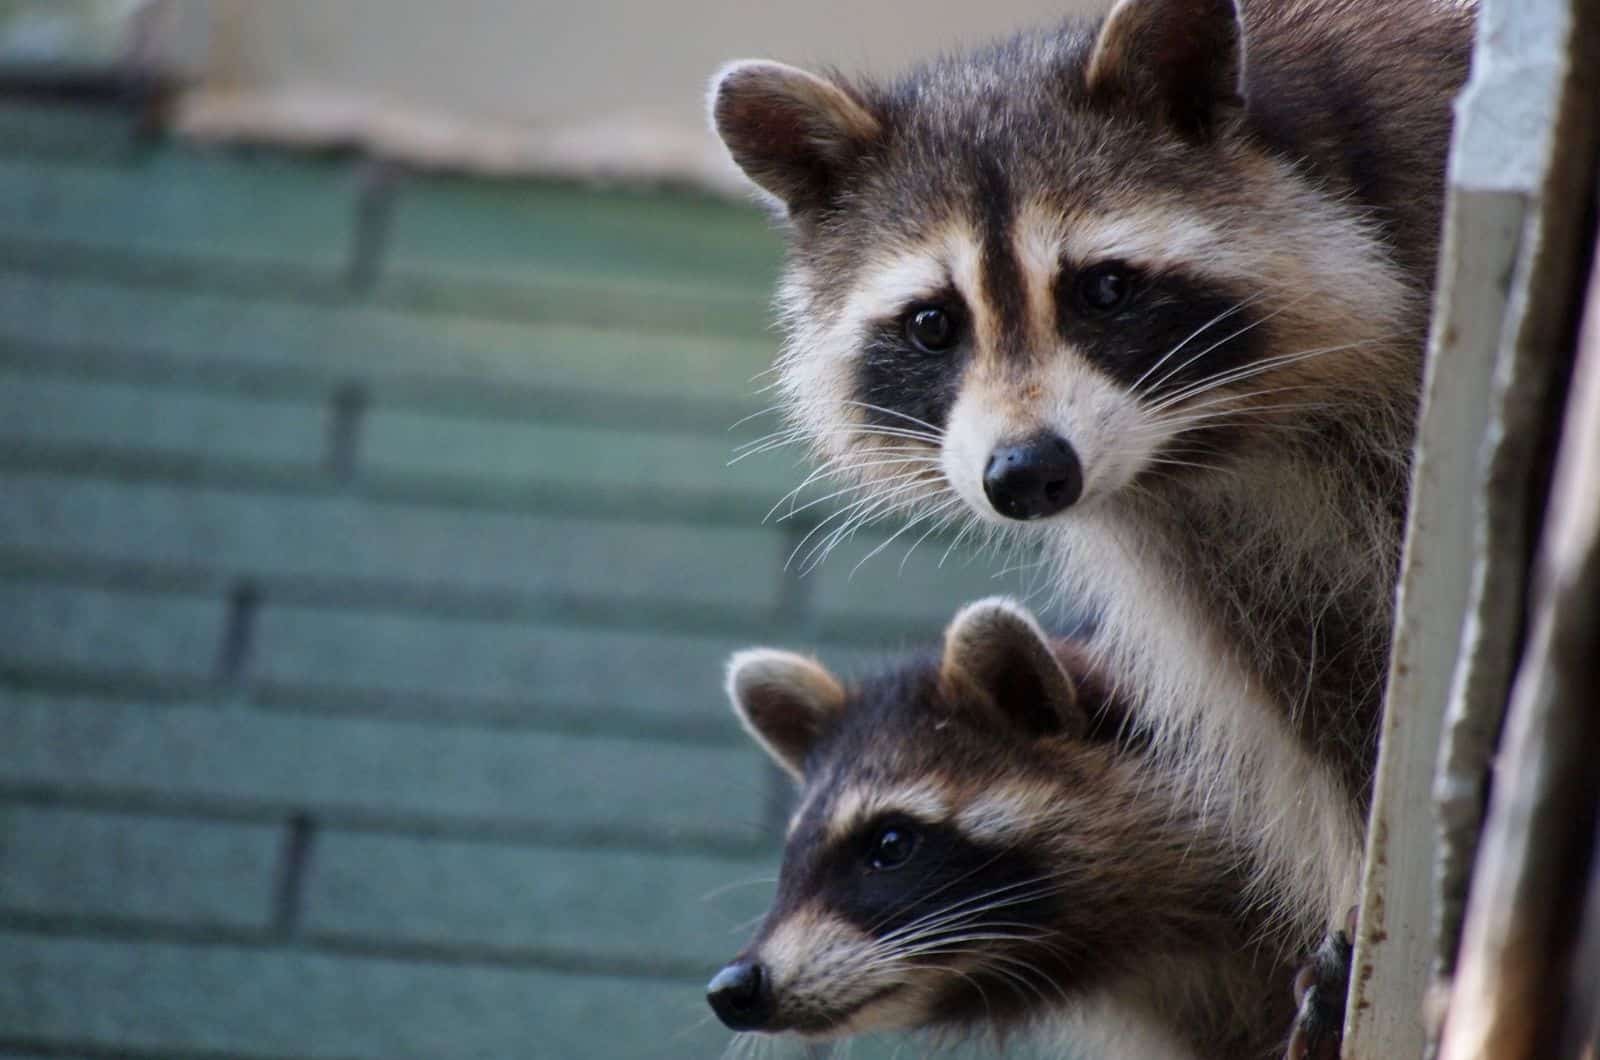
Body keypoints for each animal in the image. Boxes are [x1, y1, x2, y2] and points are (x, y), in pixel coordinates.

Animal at [713, 0, 1472, 935]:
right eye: (932, 324)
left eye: (1104, 289)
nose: (1026, 471)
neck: (1216, 439)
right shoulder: (1205, 546)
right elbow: (1312, 684)